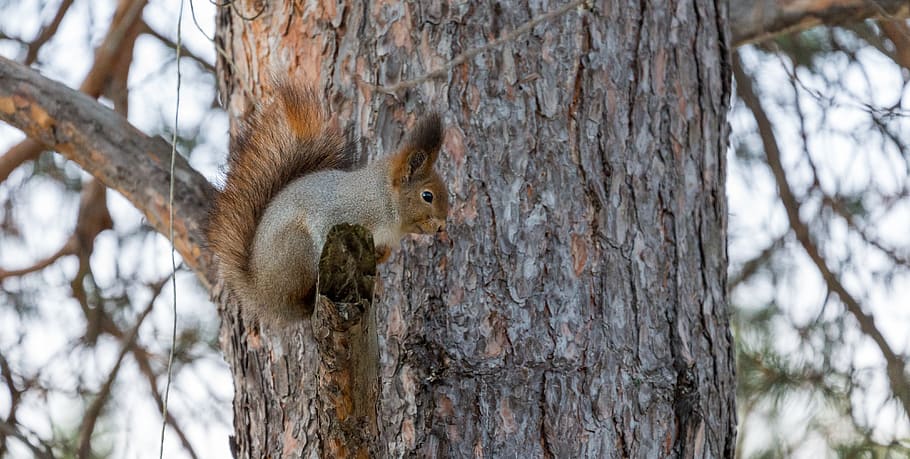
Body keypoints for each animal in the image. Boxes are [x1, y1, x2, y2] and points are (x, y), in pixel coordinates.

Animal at [206, 83, 448, 324]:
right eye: (427, 196)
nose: (442, 227)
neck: (383, 200)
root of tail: (261, 292)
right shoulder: (339, 211)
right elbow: (324, 226)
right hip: (298, 249)